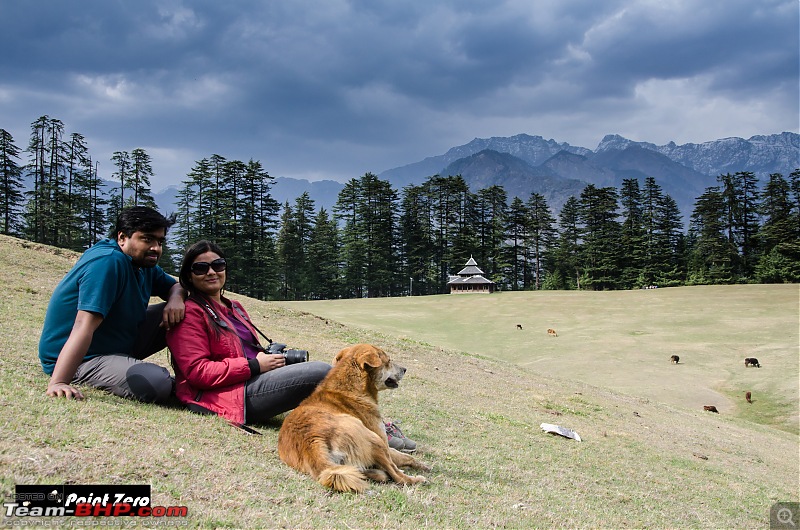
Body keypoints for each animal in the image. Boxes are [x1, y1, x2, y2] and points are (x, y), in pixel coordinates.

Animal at [276, 342, 428, 490]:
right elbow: (405, 457)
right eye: (389, 361)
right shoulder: (384, 443)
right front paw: (421, 465)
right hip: (373, 439)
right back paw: (415, 479)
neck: (351, 389)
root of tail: (311, 441)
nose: (405, 369)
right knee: (397, 476)